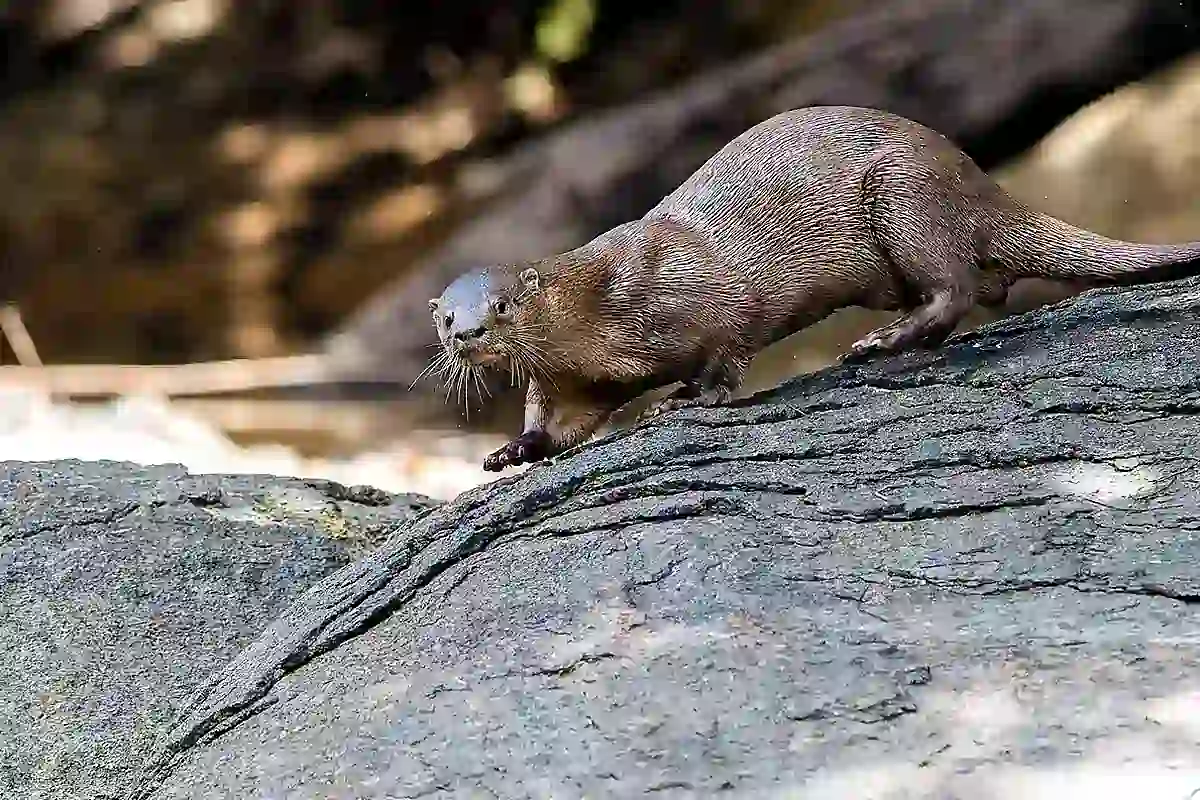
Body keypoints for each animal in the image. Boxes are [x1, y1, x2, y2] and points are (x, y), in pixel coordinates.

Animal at [426, 105, 1200, 472]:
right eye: (446, 321)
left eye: (501, 305)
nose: (470, 335)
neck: (598, 309)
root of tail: (980, 182)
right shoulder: (571, 382)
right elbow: (559, 427)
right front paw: (509, 452)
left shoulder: (690, 294)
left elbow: (727, 347)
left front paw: (685, 401)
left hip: (903, 195)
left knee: (954, 286)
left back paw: (881, 344)